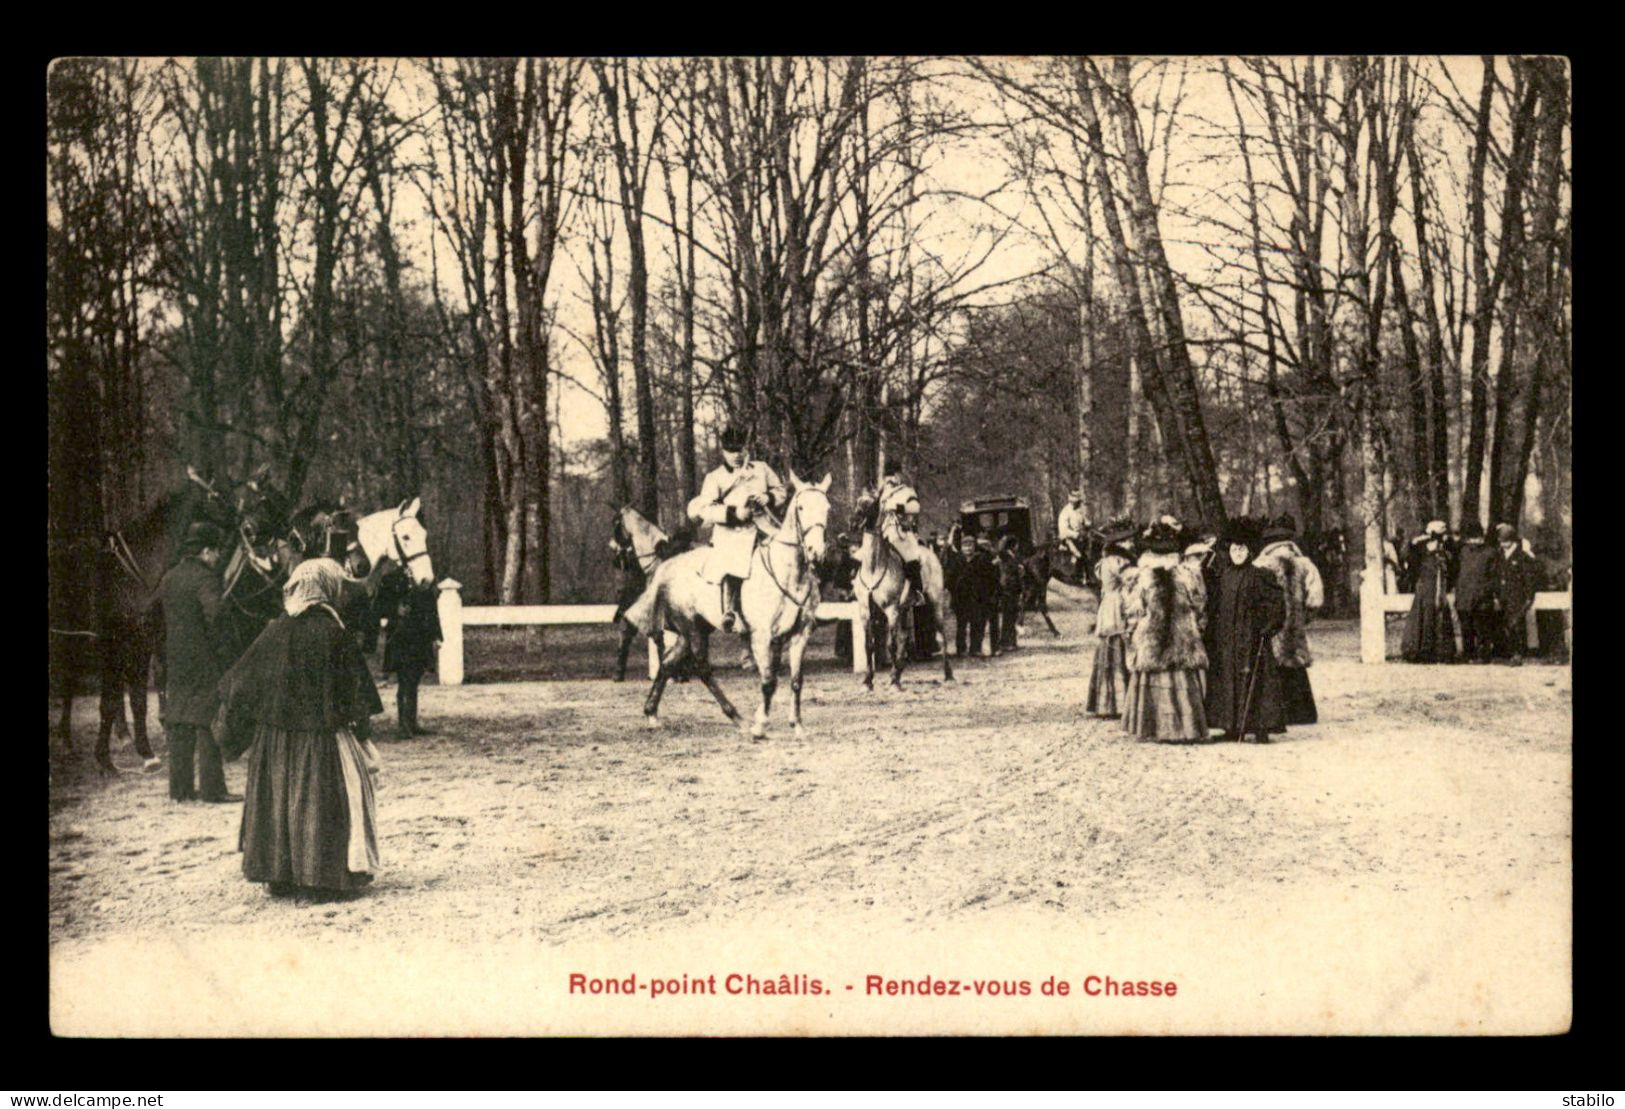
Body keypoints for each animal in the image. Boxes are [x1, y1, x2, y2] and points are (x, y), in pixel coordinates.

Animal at [617, 471, 832, 738]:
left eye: (827, 508)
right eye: (801, 507)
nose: (816, 552)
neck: (789, 573)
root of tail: (667, 567)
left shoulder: (801, 634)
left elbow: (795, 681)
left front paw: (798, 725)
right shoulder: (761, 637)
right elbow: (768, 682)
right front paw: (760, 725)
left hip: (692, 630)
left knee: (667, 663)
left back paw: (652, 714)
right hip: (692, 629)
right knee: (702, 668)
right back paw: (736, 716)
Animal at [851, 507, 949, 686]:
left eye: (871, 503)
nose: (854, 522)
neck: (873, 567)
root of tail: (931, 553)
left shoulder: (891, 609)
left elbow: (891, 645)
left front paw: (892, 681)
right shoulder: (866, 611)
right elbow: (869, 645)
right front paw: (868, 680)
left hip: (935, 602)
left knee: (941, 636)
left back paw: (948, 674)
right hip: (904, 609)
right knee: (904, 637)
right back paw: (897, 672)